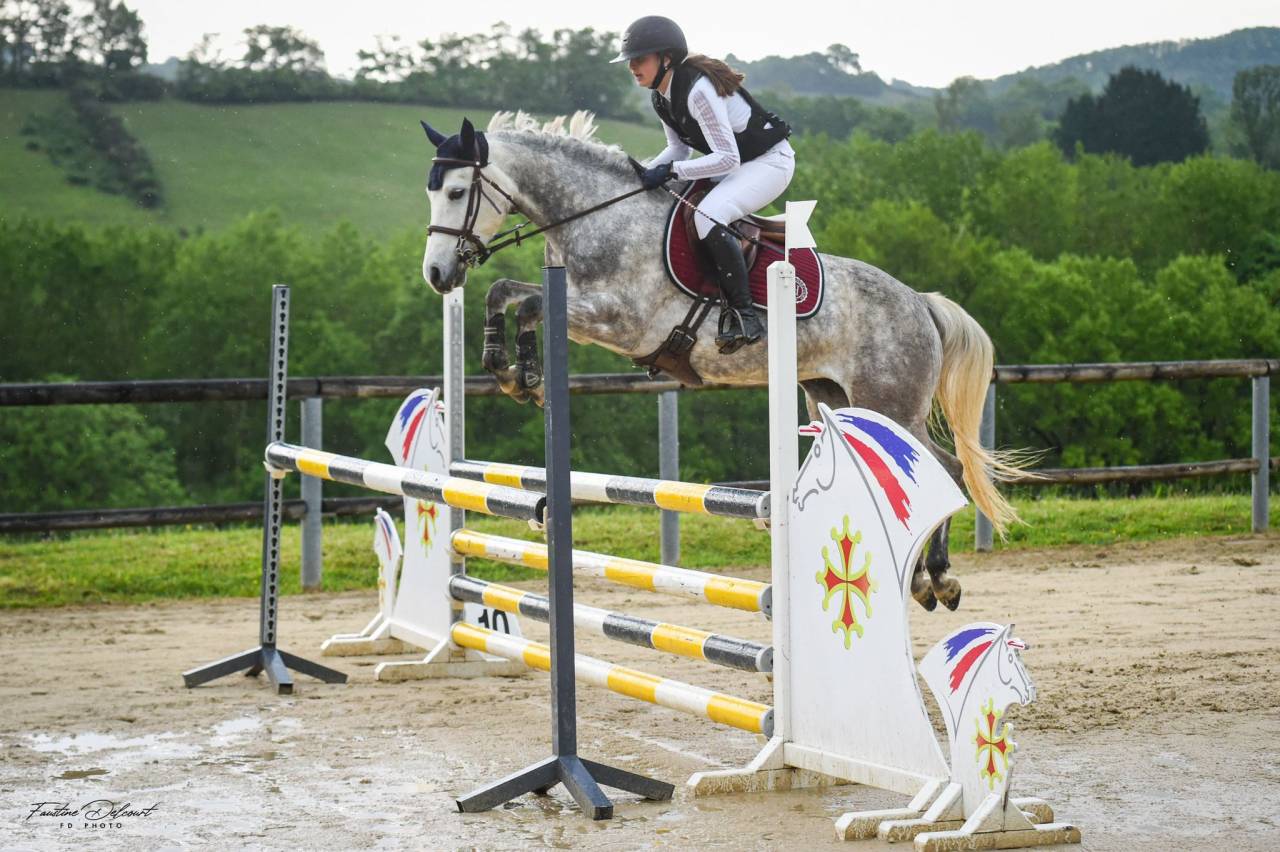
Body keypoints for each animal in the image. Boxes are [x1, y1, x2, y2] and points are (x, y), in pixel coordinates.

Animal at [417, 110, 1023, 611]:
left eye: (457, 191)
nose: (438, 275)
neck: (596, 218)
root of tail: (919, 301)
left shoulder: (619, 320)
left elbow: (531, 303)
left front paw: (526, 375)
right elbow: (503, 291)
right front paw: (504, 366)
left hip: (891, 401)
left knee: (944, 469)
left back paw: (939, 578)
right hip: (833, 398)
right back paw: (921, 577)